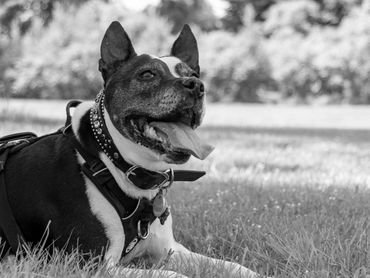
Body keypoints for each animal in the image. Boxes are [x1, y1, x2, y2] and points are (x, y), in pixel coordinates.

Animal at [0, 22, 260, 278]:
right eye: (147, 74)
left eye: (194, 75)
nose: (197, 85)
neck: (111, 163)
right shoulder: (91, 263)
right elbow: (174, 275)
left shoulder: (170, 250)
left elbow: (230, 265)